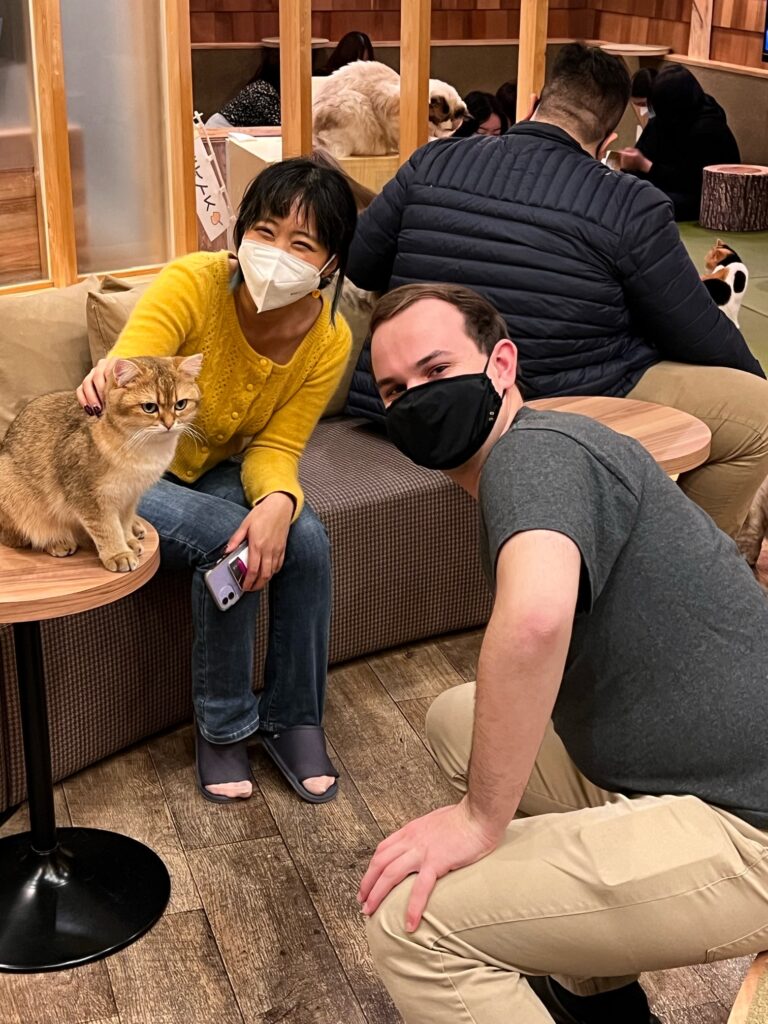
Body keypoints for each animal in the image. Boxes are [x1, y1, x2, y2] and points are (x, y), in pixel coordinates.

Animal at [0, 356, 202, 573]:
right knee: (22, 536)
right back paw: (57, 541)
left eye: (180, 404)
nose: (169, 424)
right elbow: (107, 528)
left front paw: (128, 540)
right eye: (149, 407)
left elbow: (123, 522)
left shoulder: (129, 495)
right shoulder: (88, 496)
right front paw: (119, 554)